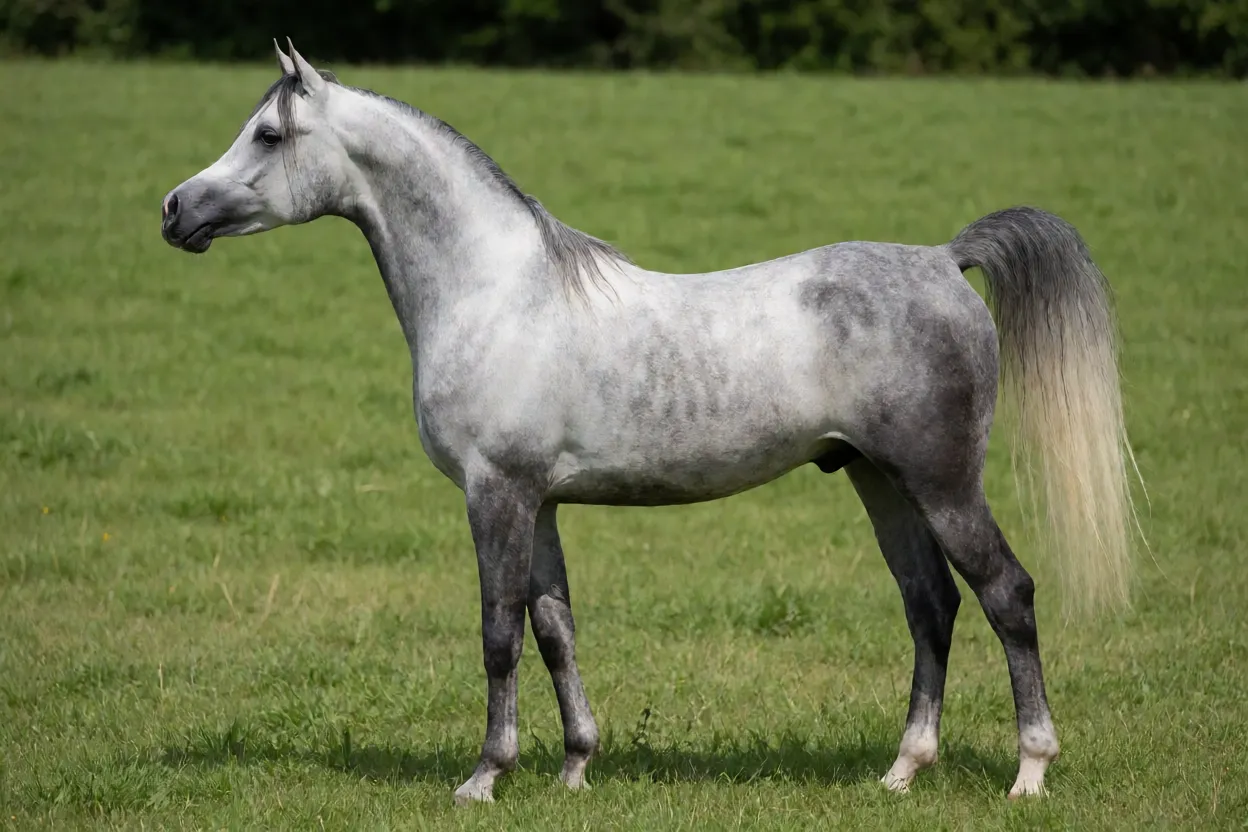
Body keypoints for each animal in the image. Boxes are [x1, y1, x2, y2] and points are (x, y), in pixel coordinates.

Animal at [160, 40, 1138, 804]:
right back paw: (902, 770)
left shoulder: (496, 494)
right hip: (879, 481)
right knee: (930, 606)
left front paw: (484, 776)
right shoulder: (542, 503)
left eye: (270, 135)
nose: (175, 209)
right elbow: (554, 628)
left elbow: (498, 632)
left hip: (942, 484)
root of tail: (943, 260)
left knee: (1007, 594)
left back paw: (1029, 773)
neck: (497, 295)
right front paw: (574, 767)